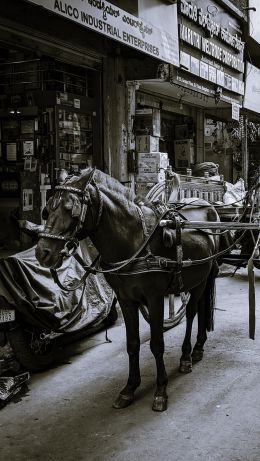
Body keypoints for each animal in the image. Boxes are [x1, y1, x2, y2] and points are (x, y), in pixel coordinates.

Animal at [35, 167, 226, 412]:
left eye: (71, 209)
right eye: (47, 209)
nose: (43, 253)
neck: (133, 242)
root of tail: (207, 204)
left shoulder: (155, 298)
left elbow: (157, 344)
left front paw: (160, 391)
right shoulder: (126, 300)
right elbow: (132, 344)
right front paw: (129, 388)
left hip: (202, 276)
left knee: (192, 312)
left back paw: (187, 355)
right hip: (198, 277)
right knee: (201, 307)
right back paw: (198, 348)